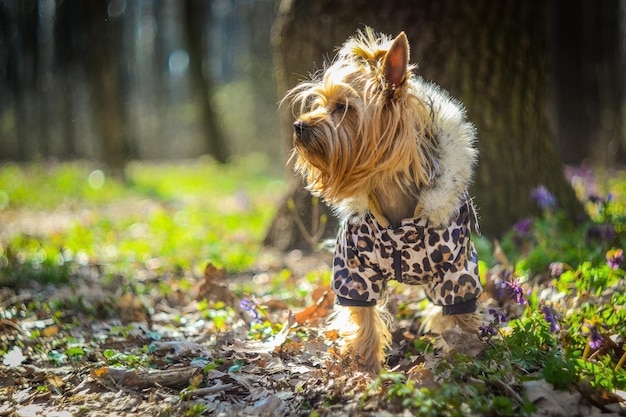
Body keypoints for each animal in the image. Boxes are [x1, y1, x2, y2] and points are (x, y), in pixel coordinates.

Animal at [286, 29, 480, 374]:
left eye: (342, 107)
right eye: (319, 103)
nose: (299, 125)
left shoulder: (457, 265)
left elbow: (460, 311)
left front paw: (464, 357)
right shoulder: (354, 267)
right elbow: (363, 316)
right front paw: (367, 368)